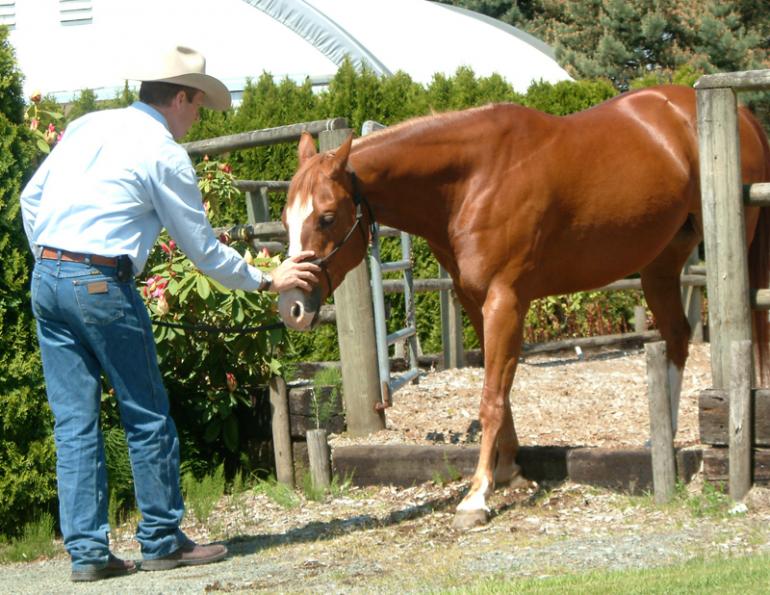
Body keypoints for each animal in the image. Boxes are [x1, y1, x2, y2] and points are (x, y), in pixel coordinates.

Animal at [277, 84, 770, 529]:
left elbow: (492, 398)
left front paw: (477, 496)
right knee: (678, 338)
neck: (474, 179)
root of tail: (741, 114)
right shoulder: (477, 301)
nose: (292, 305)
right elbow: (502, 391)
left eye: (326, 217)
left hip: (737, 251)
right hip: (661, 263)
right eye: (286, 219)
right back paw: (659, 440)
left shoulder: (506, 299)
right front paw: (510, 472)